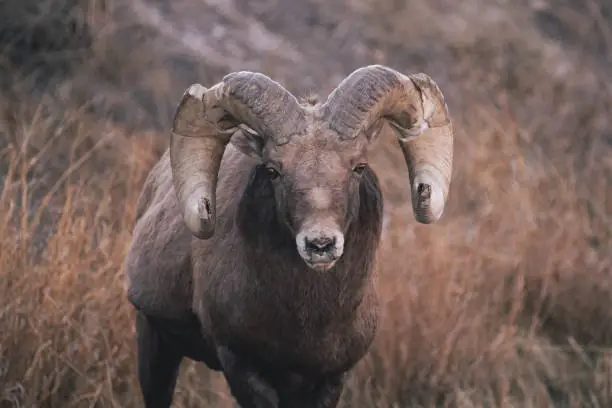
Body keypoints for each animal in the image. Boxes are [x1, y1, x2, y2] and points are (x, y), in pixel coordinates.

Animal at [123, 65, 454, 406]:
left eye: (359, 166)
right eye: (273, 170)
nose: (320, 244)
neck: (310, 319)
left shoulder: (331, 378)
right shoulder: (241, 365)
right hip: (153, 343)